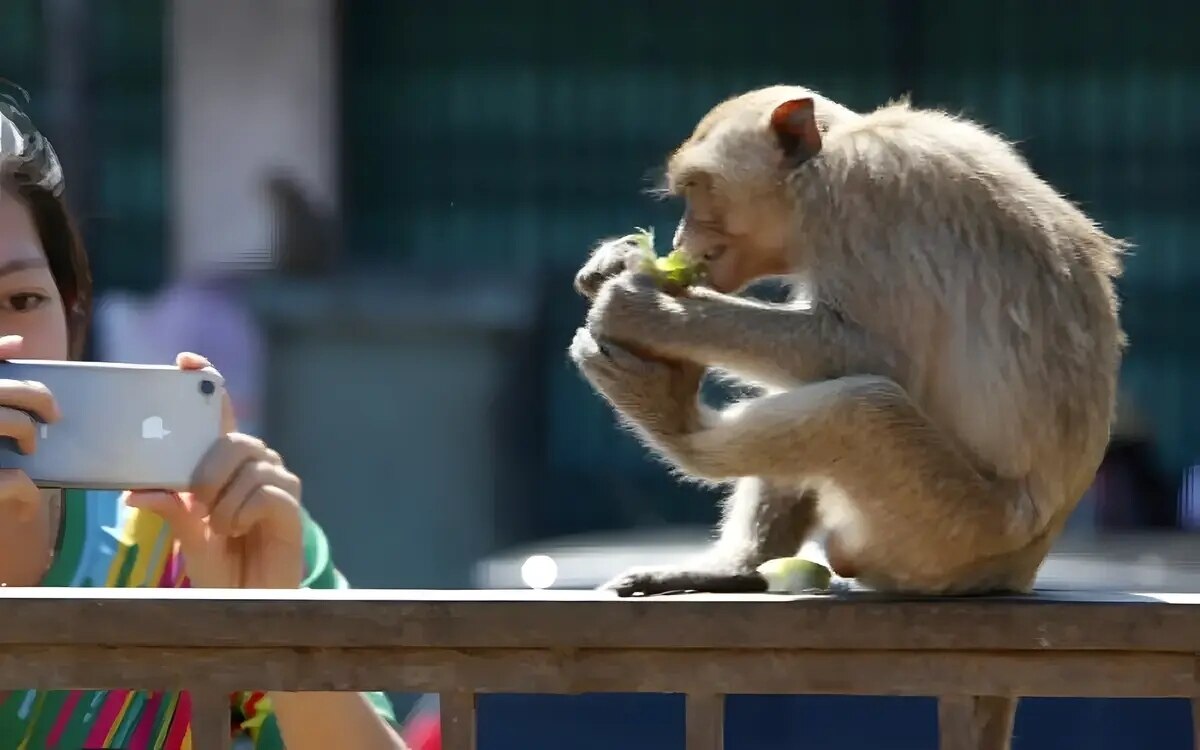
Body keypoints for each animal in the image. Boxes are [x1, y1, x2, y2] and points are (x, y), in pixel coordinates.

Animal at [566, 83, 1118, 602]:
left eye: (699, 189)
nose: (681, 237)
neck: (824, 160)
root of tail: (1022, 566)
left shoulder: (858, 194)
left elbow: (870, 354)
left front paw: (646, 309)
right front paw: (618, 261)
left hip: (949, 532)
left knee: (861, 407)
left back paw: (676, 421)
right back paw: (736, 567)